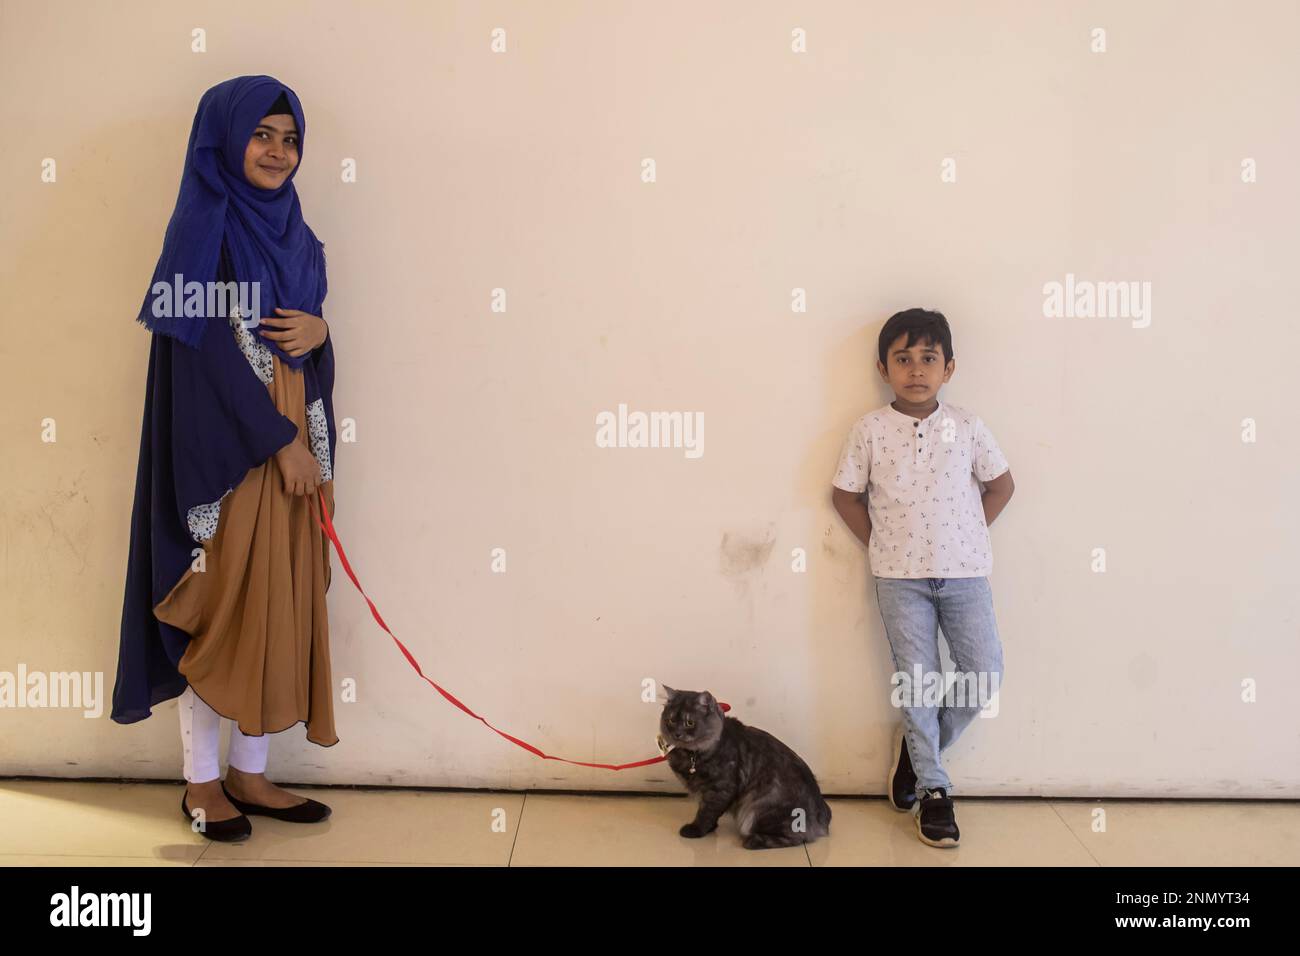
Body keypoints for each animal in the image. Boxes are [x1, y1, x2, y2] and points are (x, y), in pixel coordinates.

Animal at [660, 686, 832, 848]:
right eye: (671, 721)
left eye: (690, 723)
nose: (677, 734)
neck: (692, 755)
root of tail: (822, 818)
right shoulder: (704, 791)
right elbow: (708, 812)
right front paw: (710, 828)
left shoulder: (720, 789)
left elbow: (706, 813)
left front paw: (696, 830)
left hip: (759, 810)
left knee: (797, 838)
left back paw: (752, 841)